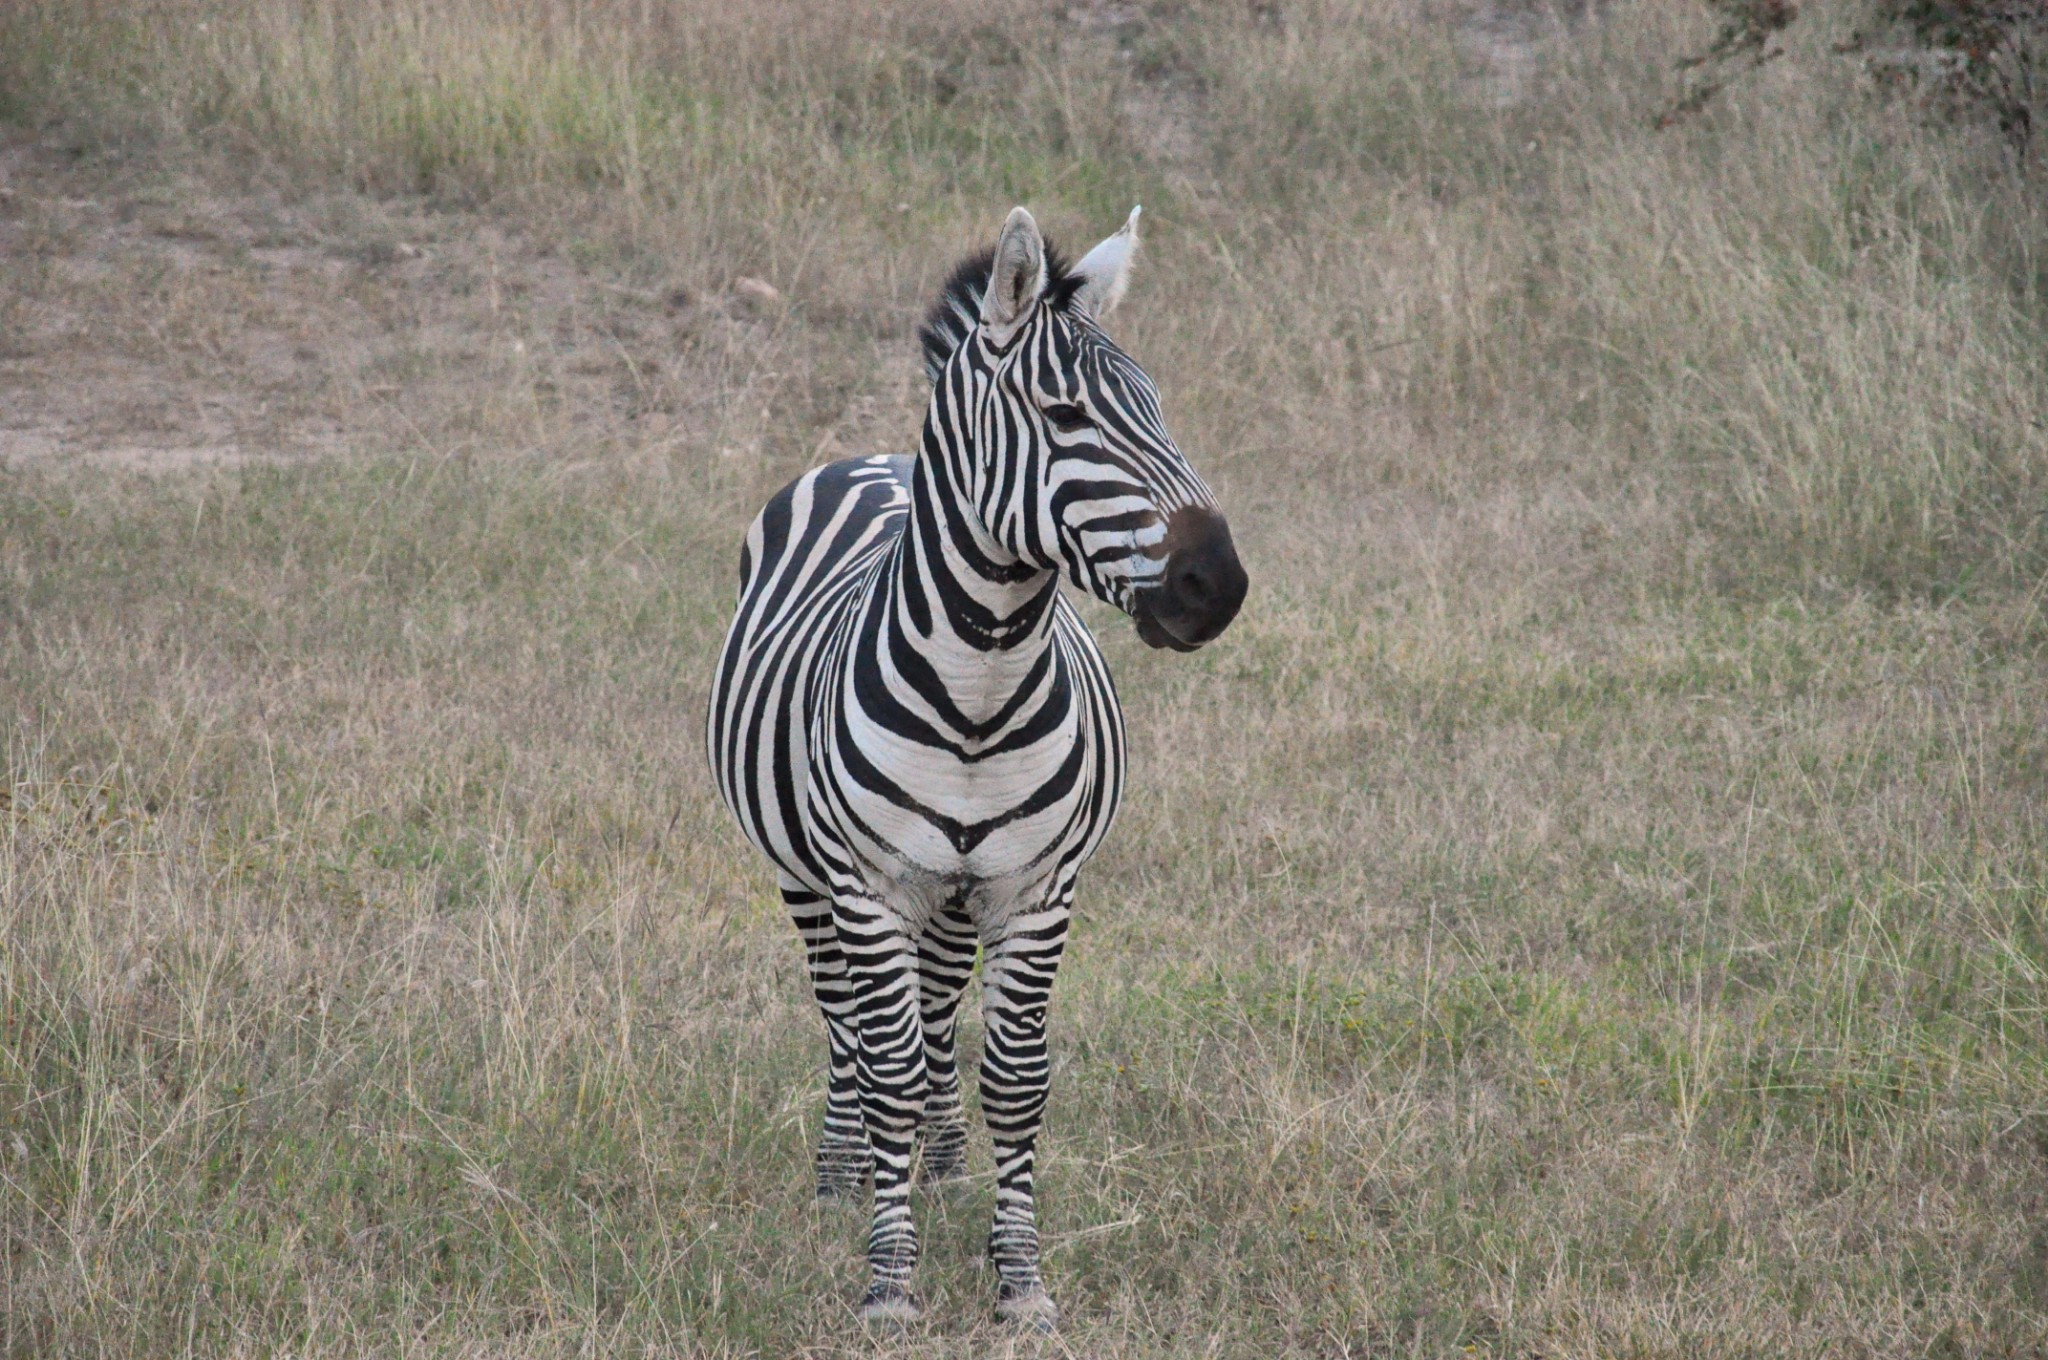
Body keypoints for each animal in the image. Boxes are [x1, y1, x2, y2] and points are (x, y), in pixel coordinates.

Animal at [704, 204, 1245, 1327]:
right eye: (1063, 413)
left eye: (1158, 407)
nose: (1217, 585)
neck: (980, 690)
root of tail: (875, 458)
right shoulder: (869, 886)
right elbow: (888, 1071)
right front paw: (888, 1280)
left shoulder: (1036, 891)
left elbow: (1014, 1079)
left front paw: (1020, 1280)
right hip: (805, 876)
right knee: (847, 1026)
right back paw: (840, 1179)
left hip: (955, 897)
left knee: (936, 1018)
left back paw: (944, 1167)